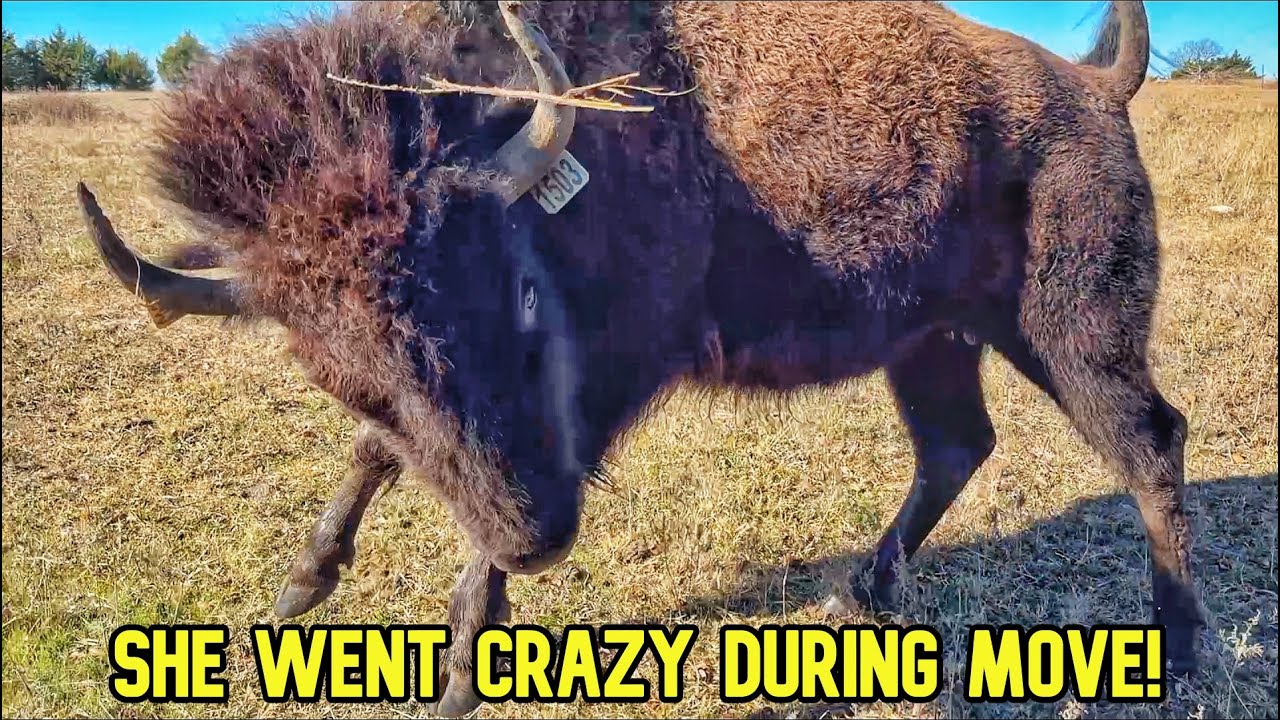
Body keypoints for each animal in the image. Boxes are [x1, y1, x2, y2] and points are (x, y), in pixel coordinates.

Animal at [77, 1, 1202, 714]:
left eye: (522, 291)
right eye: (328, 371)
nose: (537, 541)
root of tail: (1095, 86)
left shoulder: (610, 383)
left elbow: (507, 496)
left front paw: (458, 672)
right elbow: (377, 452)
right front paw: (302, 587)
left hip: (1072, 332)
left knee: (1149, 442)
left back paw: (1181, 653)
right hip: (931, 344)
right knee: (956, 448)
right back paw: (858, 595)